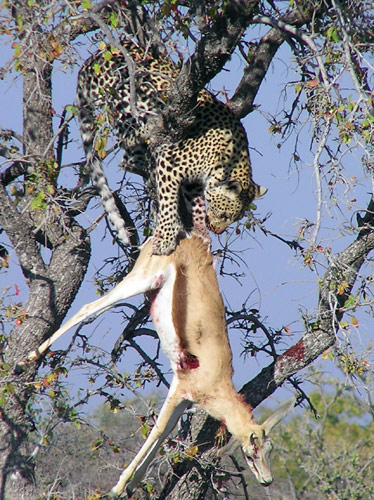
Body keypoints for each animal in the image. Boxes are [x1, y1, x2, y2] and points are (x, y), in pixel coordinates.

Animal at [76, 40, 266, 254]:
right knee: (128, 148)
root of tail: (90, 60)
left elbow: (197, 203)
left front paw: (200, 230)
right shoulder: (170, 163)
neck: (224, 161)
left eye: (233, 219)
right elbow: (168, 203)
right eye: (225, 215)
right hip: (124, 96)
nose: (218, 230)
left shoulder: (194, 181)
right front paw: (166, 240)